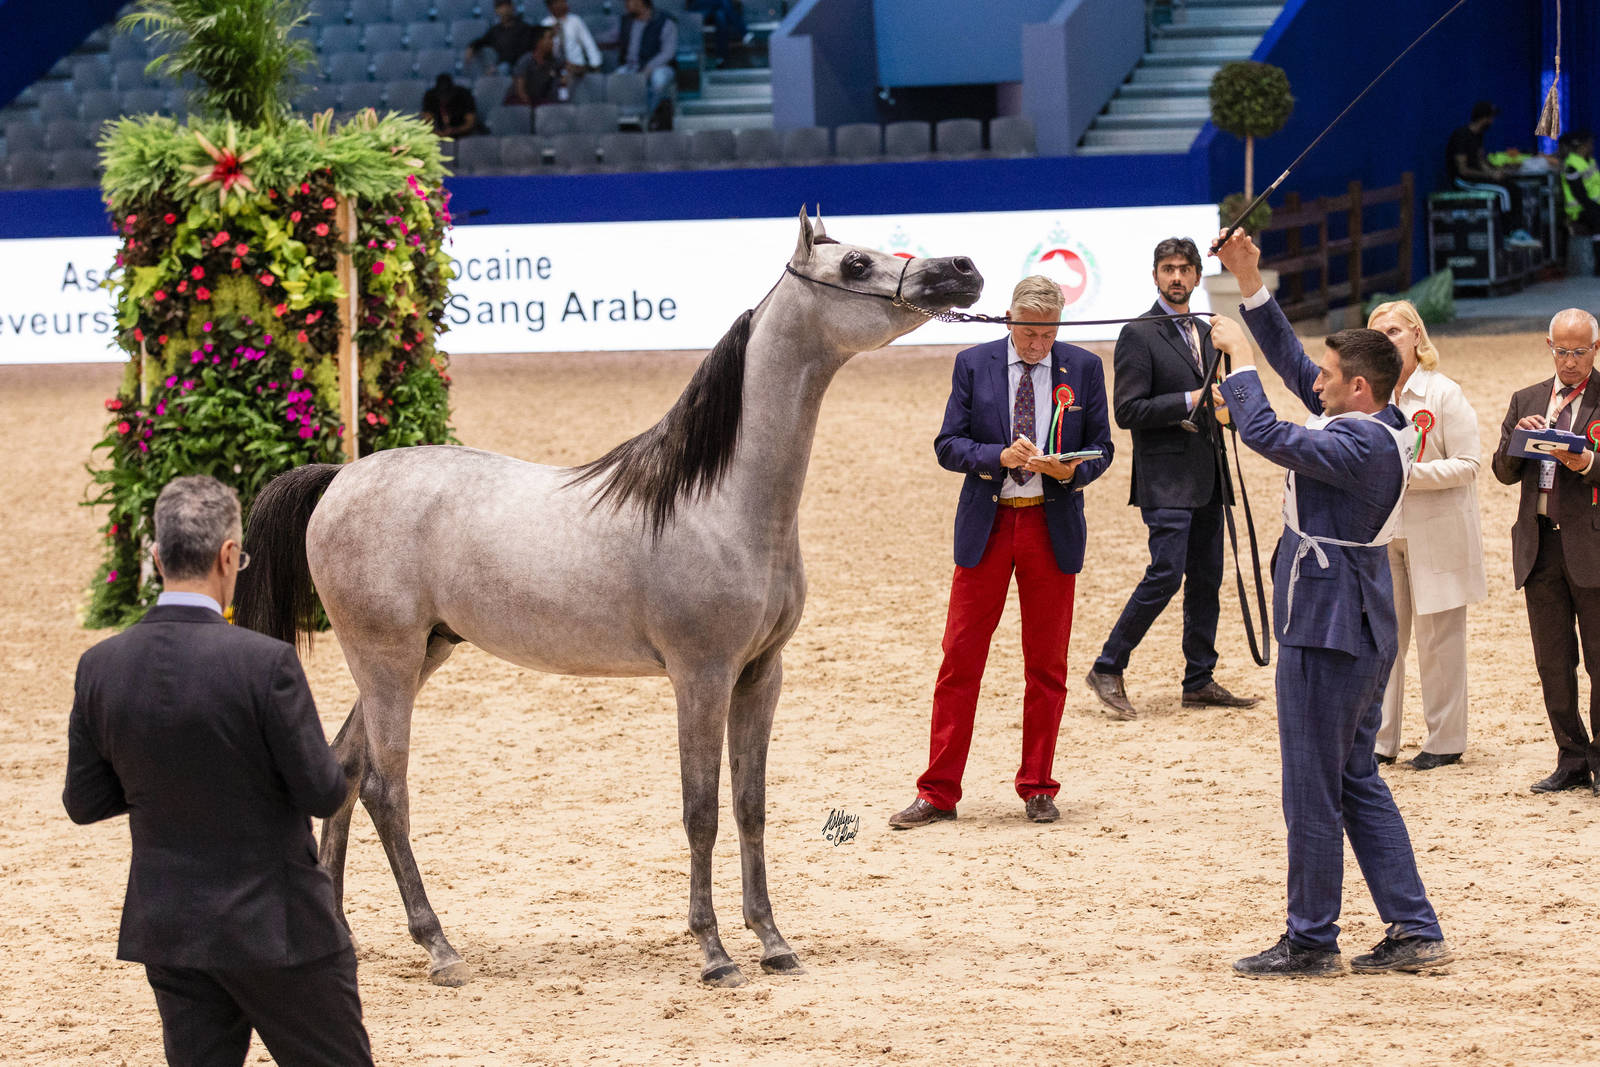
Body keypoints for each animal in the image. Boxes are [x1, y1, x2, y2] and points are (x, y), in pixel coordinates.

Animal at [234, 209, 983, 988]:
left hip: (415, 657)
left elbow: (750, 806)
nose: (961, 268)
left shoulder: (760, 675)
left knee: (347, 770)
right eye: (857, 264)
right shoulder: (700, 676)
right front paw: (715, 953)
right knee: (386, 789)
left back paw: (344, 931)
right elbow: (701, 810)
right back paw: (440, 948)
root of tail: (338, 477)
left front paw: (773, 941)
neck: (720, 501)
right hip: (386, 660)